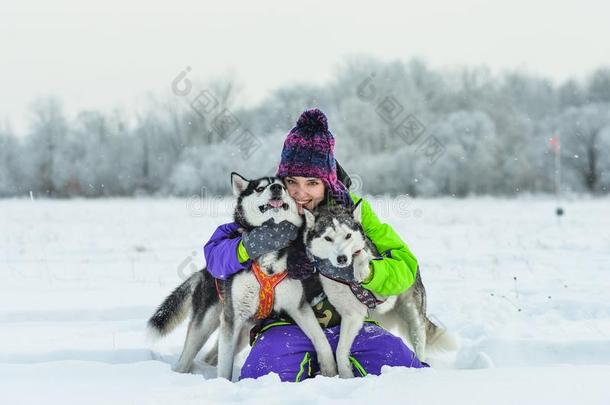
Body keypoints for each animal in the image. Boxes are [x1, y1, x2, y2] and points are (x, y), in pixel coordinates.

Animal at [148, 173, 338, 378]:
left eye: (284, 187)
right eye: (260, 188)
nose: (276, 188)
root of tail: (204, 271)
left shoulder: (298, 307)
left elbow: (320, 338)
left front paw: (331, 371)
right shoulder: (233, 318)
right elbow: (225, 367)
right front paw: (224, 383)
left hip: (244, 330)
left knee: (212, 356)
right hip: (207, 323)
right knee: (190, 353)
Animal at [302, 202, 454, 376]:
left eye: (348, 236)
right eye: (328, 238)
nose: (342, 258)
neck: (343, 275)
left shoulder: (382, 296)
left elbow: (363, 255)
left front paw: (361, 268)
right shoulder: (351, 314)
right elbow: (340, 350)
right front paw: (345, 375)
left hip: (413, 317)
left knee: (418, 340)